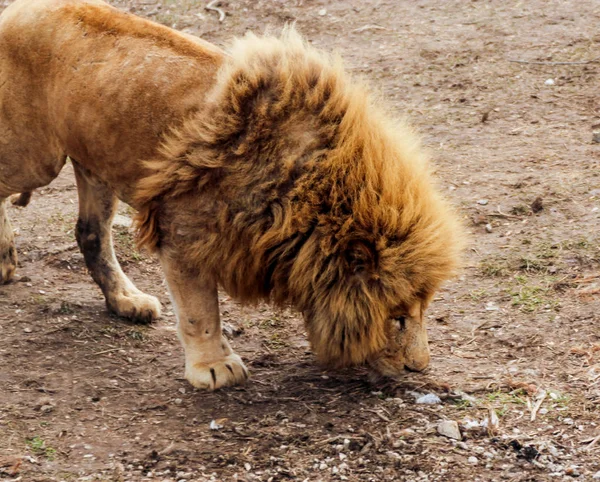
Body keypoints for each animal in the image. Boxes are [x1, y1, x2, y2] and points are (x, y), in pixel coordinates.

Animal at [0, 0, 464, 390]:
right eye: (399, 318)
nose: (419, 368)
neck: (307, 196)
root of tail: (21, 8)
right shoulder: (183, 233)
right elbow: (200, 311)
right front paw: (213, 368)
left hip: (94, 161)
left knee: (91, 233)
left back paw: (126, 301)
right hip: (36, 158)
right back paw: (5, 259)